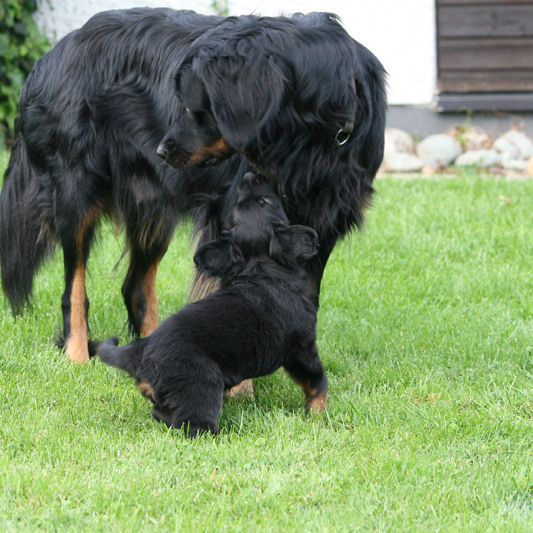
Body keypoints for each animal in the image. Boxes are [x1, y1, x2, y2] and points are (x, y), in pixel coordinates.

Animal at [0, 8, 386, 364]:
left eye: (194, 105)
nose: (160, 151)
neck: (311, 143)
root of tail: (50, 56)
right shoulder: (236, 216)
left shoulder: (320, 228)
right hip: (74, 194)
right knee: (74, 288)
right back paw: (77, 356)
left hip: (152, 204)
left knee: (135, 288)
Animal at [97, 173, 327, 437]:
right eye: (266, 202)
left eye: (238, 208)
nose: (250, 175)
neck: (258, 267)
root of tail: (138, 351)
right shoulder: (301, 348)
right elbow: (316, 381)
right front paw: (319, 413)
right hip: (202, 382)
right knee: (193, 423)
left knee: (161, 412)